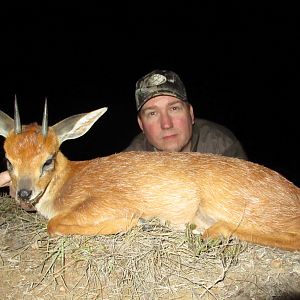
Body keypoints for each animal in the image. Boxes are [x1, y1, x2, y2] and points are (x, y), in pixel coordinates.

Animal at [0, 100, 298, 251]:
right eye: (8, 160)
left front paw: (131, 223)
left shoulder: (108, 201)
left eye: (47, 160)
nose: (24, 193)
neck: (69, 180)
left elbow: (54, 225)